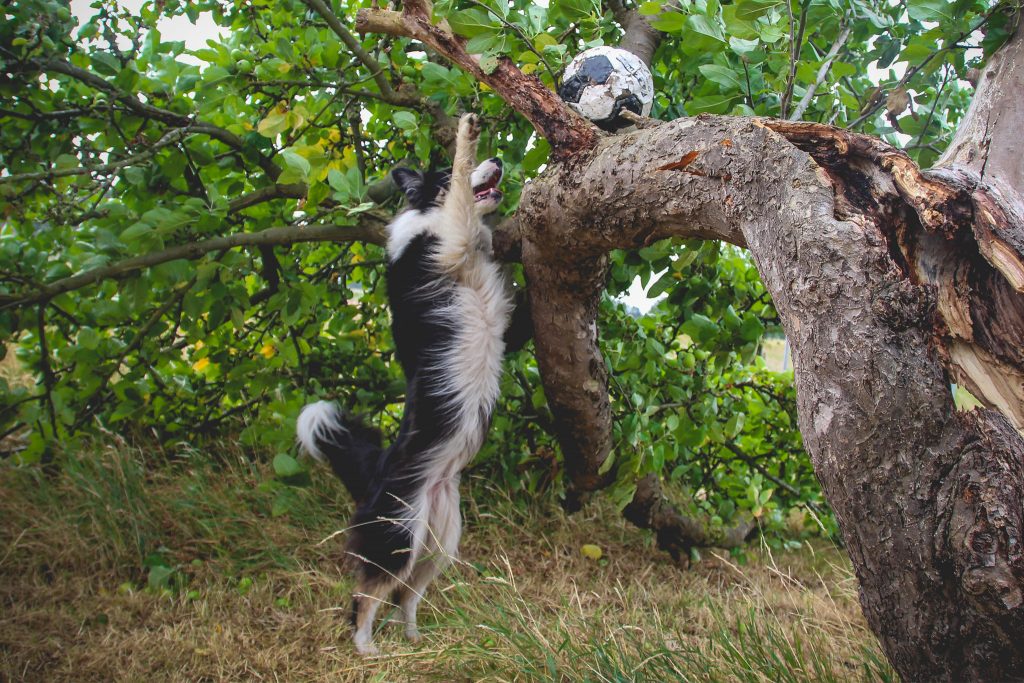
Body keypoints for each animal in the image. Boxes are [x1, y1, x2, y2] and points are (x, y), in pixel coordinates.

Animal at [299, 113, 520, 655]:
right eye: (434, 174)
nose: (499, 159)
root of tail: (375, 475)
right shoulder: (450, 242)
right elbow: (461, 189)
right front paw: (466, 135)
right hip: (399, 534)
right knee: (364, 597)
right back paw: (367, 649)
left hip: (441, 541)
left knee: (405, 595)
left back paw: (415, 636)